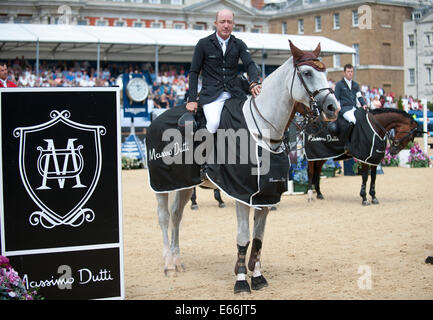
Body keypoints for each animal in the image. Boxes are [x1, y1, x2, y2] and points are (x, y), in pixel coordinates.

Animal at [148, 41, 340, 294]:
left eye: (325, 71)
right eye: (307, 73)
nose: (333, 108)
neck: (262, 133)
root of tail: (155, 120)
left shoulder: (265, 196)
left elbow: (258, 239)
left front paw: (256, 276)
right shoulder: (240, 193)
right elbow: (243, 237)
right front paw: (241, 280)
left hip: (185, 185)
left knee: (176, 217)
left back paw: (177, 261)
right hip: (162, 185)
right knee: (163, 218)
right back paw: (168, 264)